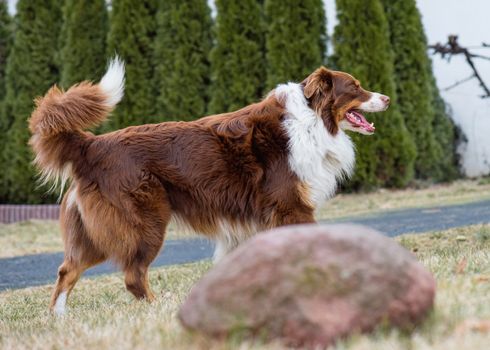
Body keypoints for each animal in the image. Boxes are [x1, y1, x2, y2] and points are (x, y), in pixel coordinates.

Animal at [28, 58, 388, 314]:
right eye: (355, 87)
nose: (386, 97)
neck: (313, 121)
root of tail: (91, 145)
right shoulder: (291, 206)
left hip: (95, 233)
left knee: (67, 270)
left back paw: (58, 318)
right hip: (145, 224)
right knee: (132, 276)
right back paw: (160, 310)